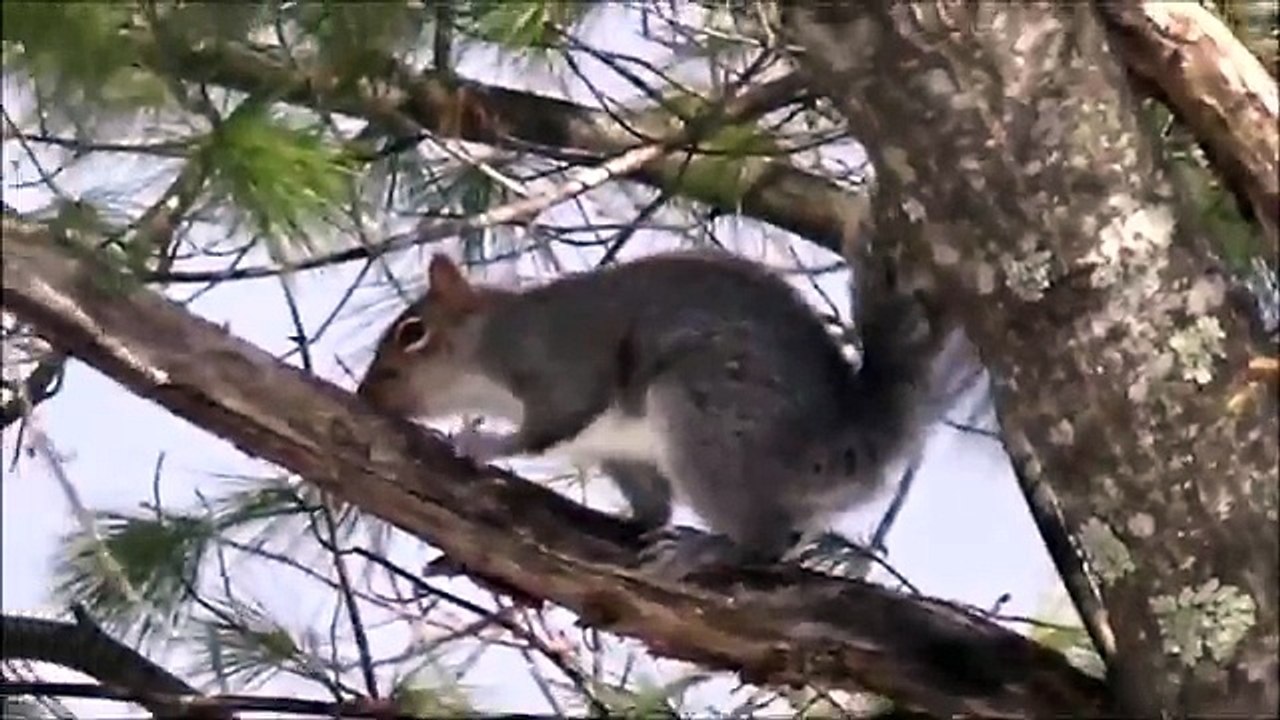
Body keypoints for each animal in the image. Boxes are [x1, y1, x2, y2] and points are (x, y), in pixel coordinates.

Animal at [357, 249, 965, 573]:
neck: (489, 341)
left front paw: (483, 442)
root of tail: (842, 447)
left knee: (764, 542)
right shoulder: (616, 451)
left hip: (704, 419)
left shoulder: (561, 361)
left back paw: (705, 548)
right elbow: (653, 504)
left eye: (413, 333)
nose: (367, 394)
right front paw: (635, 521)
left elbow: (547, 426)